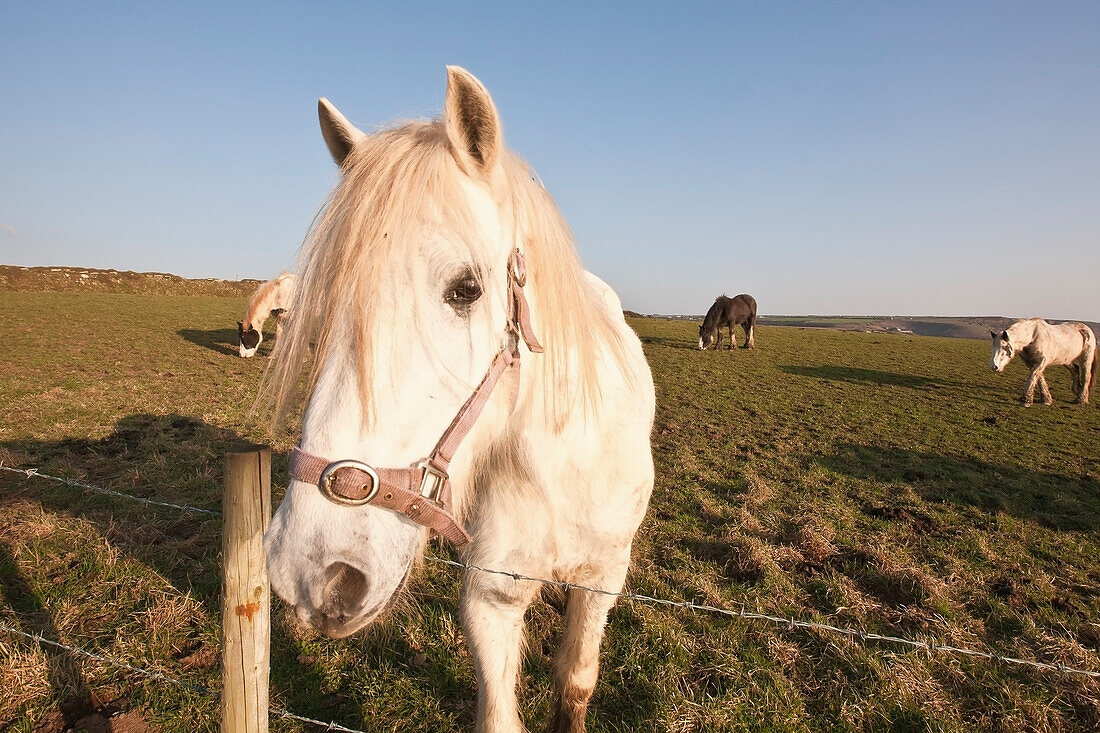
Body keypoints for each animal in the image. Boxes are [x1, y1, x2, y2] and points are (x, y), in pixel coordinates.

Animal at [259, 68, 651, 730]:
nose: (314, 573)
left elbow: (575, 682)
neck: (563, 461)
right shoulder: (492, 595)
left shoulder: (604, 577)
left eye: (465, 289)